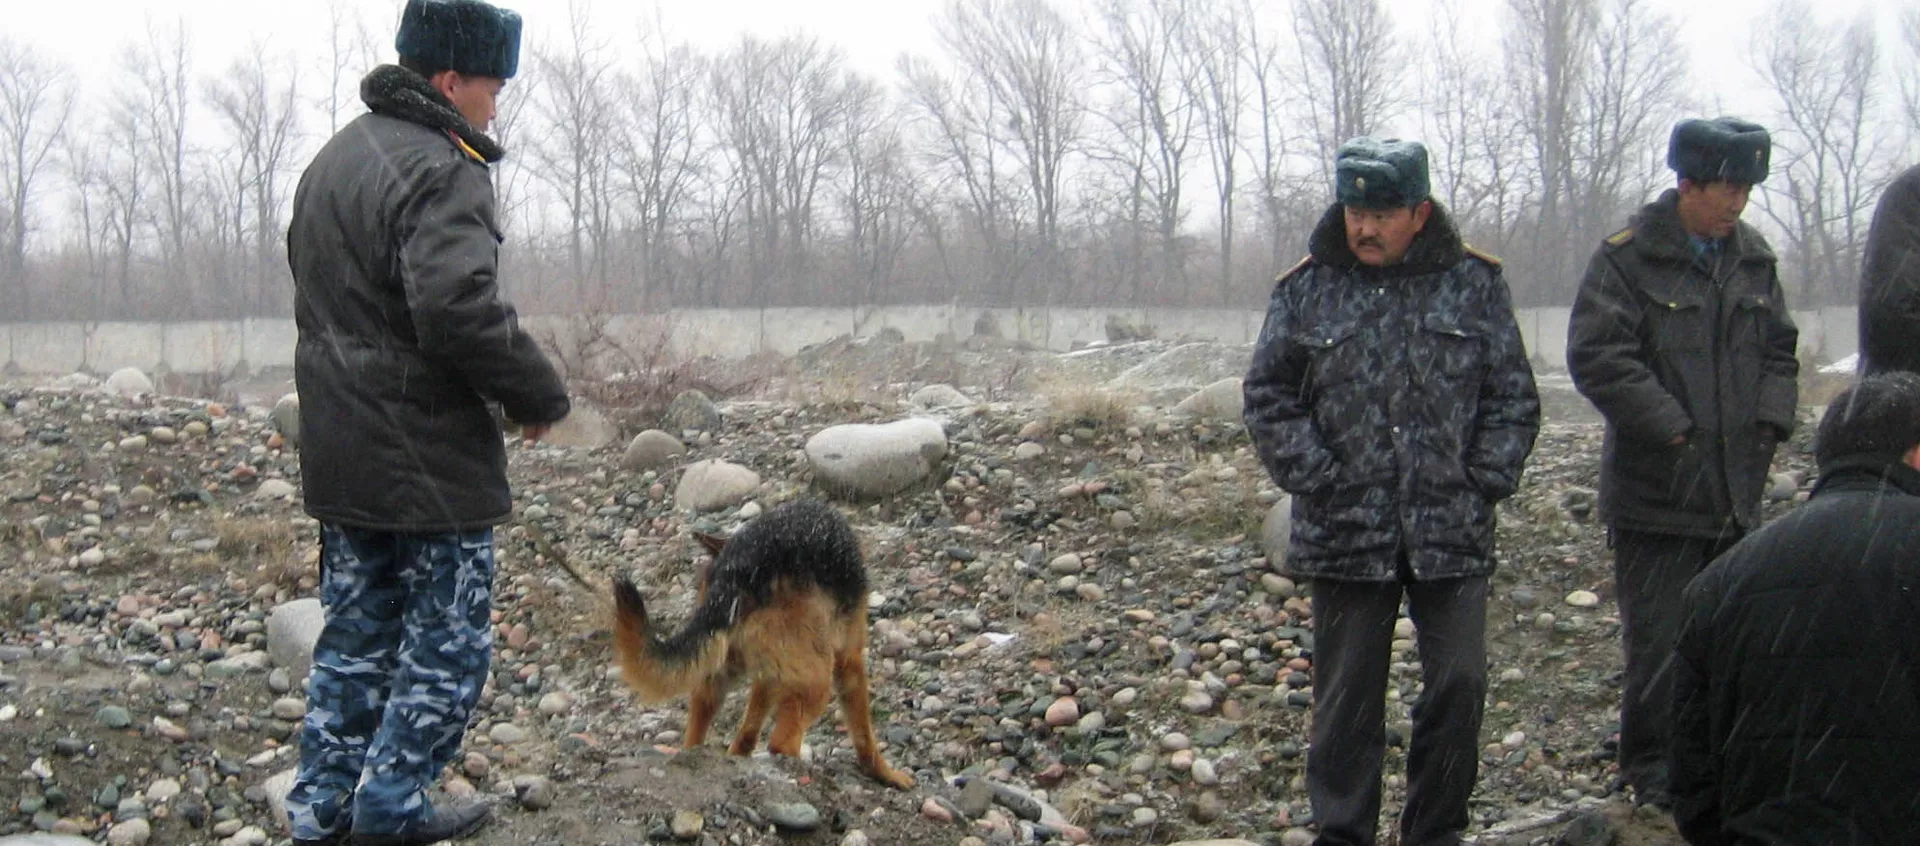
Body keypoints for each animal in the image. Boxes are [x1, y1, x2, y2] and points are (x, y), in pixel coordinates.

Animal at [610, 498, 914, 789]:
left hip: (715, 673)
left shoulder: (768, 675)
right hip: (816, 682)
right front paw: (884, 773)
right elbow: (864, 735)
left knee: (697, 733)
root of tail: (739, 568)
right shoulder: (849, 658)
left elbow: (747, 731)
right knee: (782, 743)